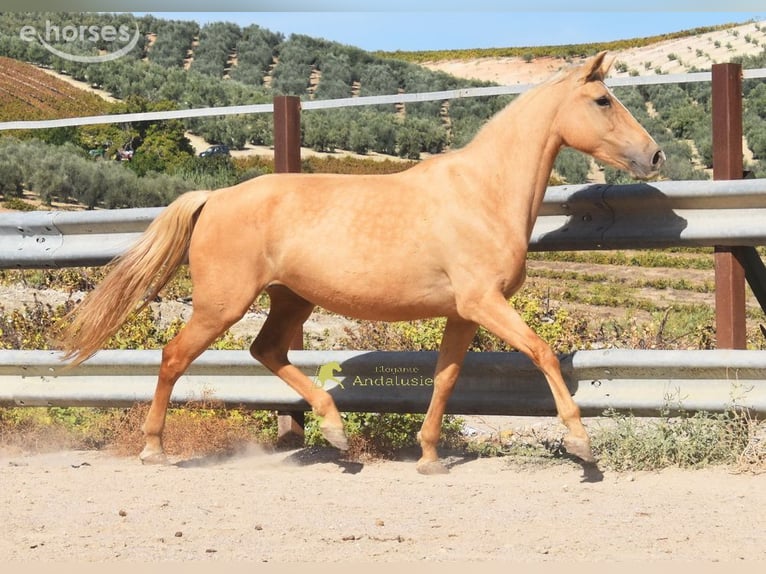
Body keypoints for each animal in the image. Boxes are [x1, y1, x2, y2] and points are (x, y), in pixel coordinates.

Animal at [59, 51, 664, 474]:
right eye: (603, 101)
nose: (654, 155)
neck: (483, 193)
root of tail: (214, 198)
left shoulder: (463, 313)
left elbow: (446, 378)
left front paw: (429, 458)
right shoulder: (484, 302)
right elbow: (541, 352)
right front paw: (581, 444)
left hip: (290, 300)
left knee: (266, 351)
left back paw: (334, 431)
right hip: (221, 304)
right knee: (172, 357)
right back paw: (154, 450)